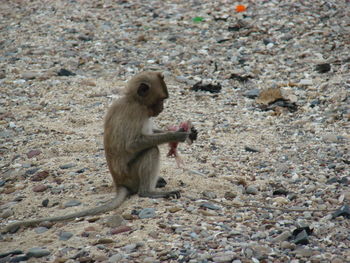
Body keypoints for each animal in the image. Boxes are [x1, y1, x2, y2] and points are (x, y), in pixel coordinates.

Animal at [2, 71, 193, 234]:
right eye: (161, 99)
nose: (162, 108)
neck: (134, 100)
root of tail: (119, 183)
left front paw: (188, 132)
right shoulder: (135, 112)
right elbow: (133, 145)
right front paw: (177, 135)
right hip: (131, 175)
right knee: (151, 151)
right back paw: (148, 192)